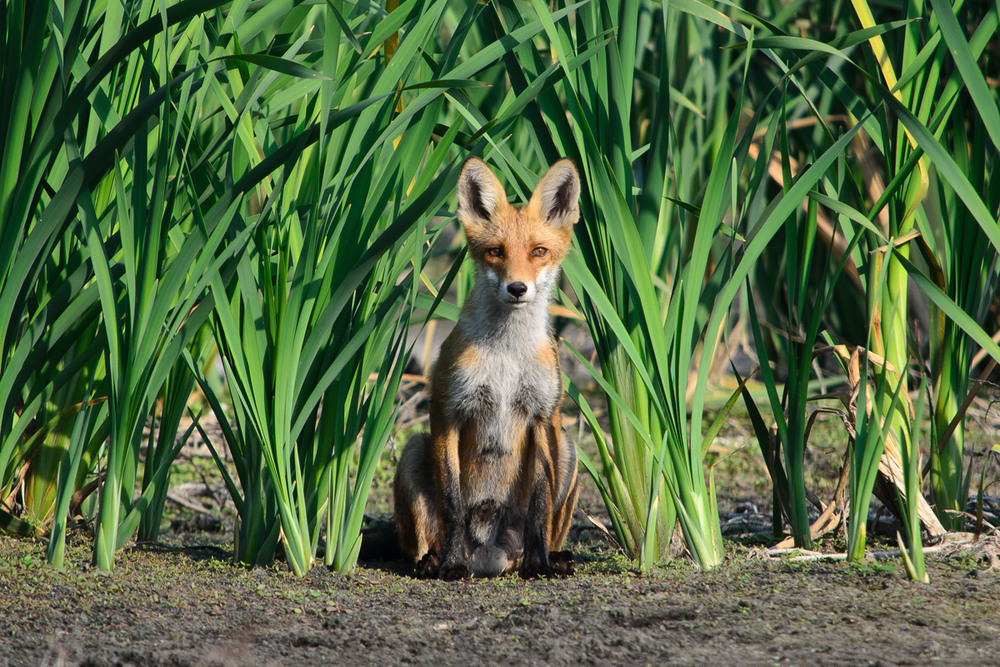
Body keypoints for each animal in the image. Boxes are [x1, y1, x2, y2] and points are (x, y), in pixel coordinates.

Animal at [394, 157, 584, 580]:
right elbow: (451, 503)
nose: (517, 288)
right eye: (496, 251)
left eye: (538, 251)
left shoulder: (543, 416)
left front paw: (538, 564)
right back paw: (433, 560)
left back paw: (549, 557)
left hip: (568, 448)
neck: (506, 358)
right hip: (414, 449)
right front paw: (451, 565)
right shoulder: (447, 410)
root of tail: (488, 554)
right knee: (423, 541)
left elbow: (539, 505)